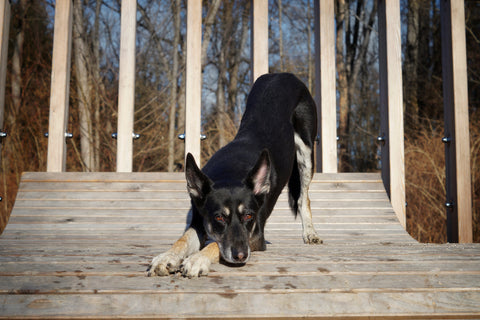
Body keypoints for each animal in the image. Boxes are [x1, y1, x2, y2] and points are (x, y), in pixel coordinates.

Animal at [146, 72, 322, 278]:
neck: (230, 173)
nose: (240, 255)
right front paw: (166, 257)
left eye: (248, 216)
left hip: (306, 150)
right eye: (219, 217)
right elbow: (183, 239)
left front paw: (197, 259)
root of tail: (283, 74)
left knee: (304, 197)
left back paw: (310, 233)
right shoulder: (200, 221)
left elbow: (215, 244)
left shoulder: (255, 236)